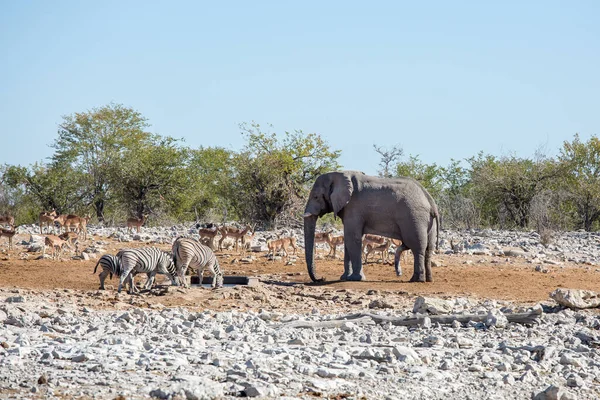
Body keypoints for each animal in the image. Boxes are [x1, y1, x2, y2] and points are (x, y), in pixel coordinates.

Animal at [304, 170, 440, 282]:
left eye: (316, 197)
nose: (321, 278)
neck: (338, 174)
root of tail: (431, 201)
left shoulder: (353, 208)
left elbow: (352, 238)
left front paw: (356, 279)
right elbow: (349, 240)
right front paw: (344, 278)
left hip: (414, 218)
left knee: (417, 248)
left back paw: (416, 280)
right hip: (426, 221)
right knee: (428, 249)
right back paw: (428, 280)